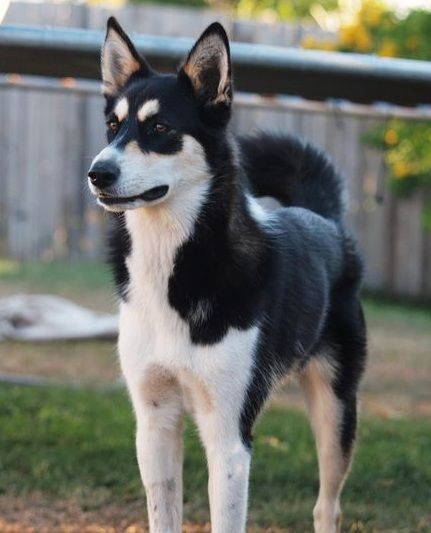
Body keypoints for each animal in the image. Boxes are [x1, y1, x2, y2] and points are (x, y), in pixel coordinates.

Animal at [88, 17, 368, 532]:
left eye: (160, 128)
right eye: (113, 126)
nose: (97, 173)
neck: (174, 265)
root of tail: (323, 217)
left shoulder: (230, 436)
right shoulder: (153, 422)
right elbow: (163, 514)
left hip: (337, 408)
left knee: (327, 505)